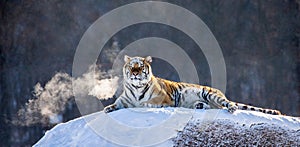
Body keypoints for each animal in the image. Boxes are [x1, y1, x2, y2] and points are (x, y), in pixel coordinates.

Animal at [103, 54, 282, 115]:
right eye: (131, 66)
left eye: (140, 66)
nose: (134, 73)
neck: (136, 87)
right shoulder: (124, 100)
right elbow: (117, 104)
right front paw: (108, 108)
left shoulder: (163, 99)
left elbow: (145, 103)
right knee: (213, 107)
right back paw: (200, 106)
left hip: (210, 93)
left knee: (226, 104)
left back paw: (231, 108)